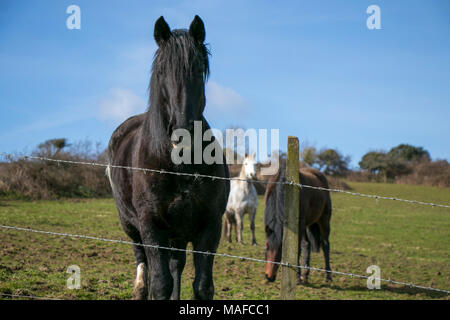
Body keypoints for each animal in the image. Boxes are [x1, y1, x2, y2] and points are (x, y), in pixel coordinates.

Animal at [107, 15, 230, 300]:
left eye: (199, 70)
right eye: (162, 71)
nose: (182, 133)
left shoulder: (210, 226)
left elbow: (202, 286)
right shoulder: (152, 227)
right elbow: (160, 284)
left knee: (176, 266)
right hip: (132, 227)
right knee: (142, 264)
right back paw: (139, 288)